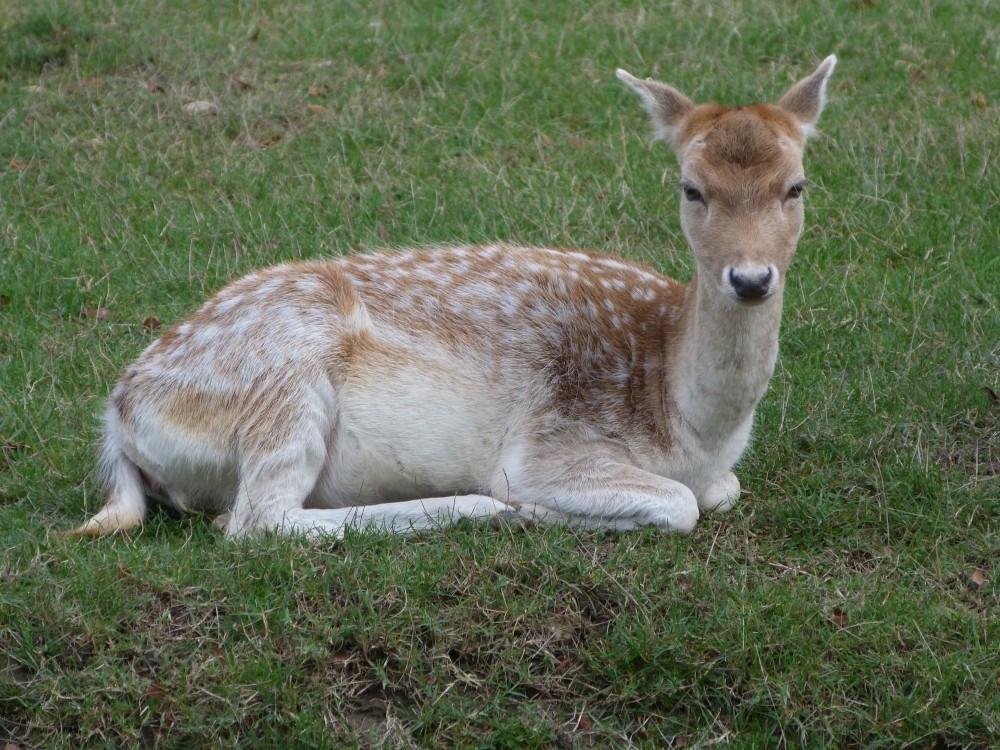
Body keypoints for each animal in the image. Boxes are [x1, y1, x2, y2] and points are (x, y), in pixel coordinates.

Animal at [68, 55, 836, 544]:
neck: (689, 425)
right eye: (690, 187)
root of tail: (118, 415)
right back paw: (486, 508)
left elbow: (723, 492)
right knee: (255, 521)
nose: (750, 279)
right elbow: (680, 505)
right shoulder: (551, 447)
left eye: (796, 185)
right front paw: (535, 509)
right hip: (281, 386)